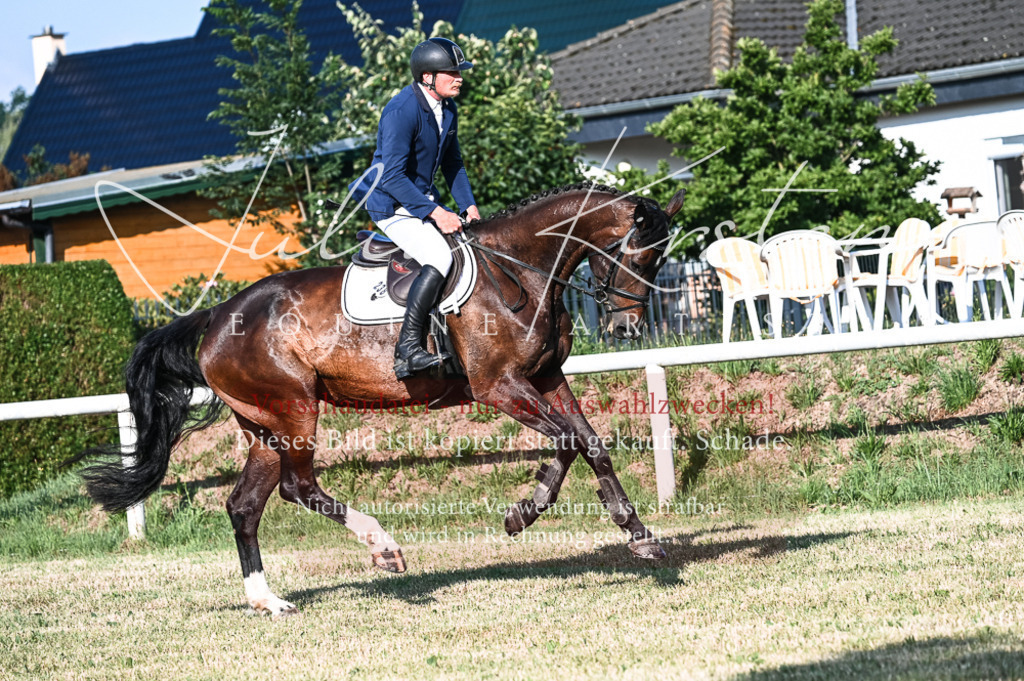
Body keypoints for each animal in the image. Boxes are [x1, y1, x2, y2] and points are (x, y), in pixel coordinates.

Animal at [73, 182, 686, 618]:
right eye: (634, 256)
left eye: (657, 261)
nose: (629, 329)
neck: (520, 270)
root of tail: (216, 316)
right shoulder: (500, 386)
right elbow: (564, 441)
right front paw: (523, 513)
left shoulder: (548, 377)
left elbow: (589, 444)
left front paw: (639, 537)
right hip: (296, 407)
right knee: (298, 487)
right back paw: (383, 547)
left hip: (264, 423)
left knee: (245, 506)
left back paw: (268, 600)